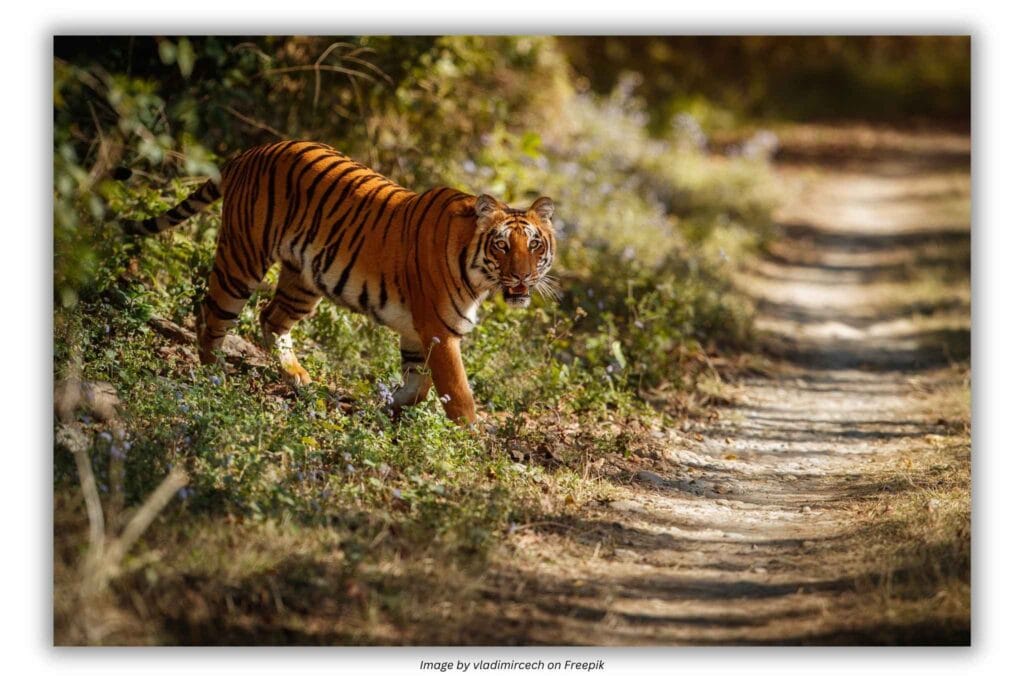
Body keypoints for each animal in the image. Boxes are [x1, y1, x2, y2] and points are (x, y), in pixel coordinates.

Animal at [122, 140, 557, 421]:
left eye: (534, 245)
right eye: (502, 245)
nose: (523, 275)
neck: (479, 276)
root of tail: (250, 152)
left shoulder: (417, 332)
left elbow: (419, 385)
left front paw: (389, 408)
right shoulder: (439, 330)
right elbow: (459, 393)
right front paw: (469, 440)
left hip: (304, 281)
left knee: (271, 317)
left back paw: (298, 377)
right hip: (242, 259)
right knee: (211, 316)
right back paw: (214, 377)